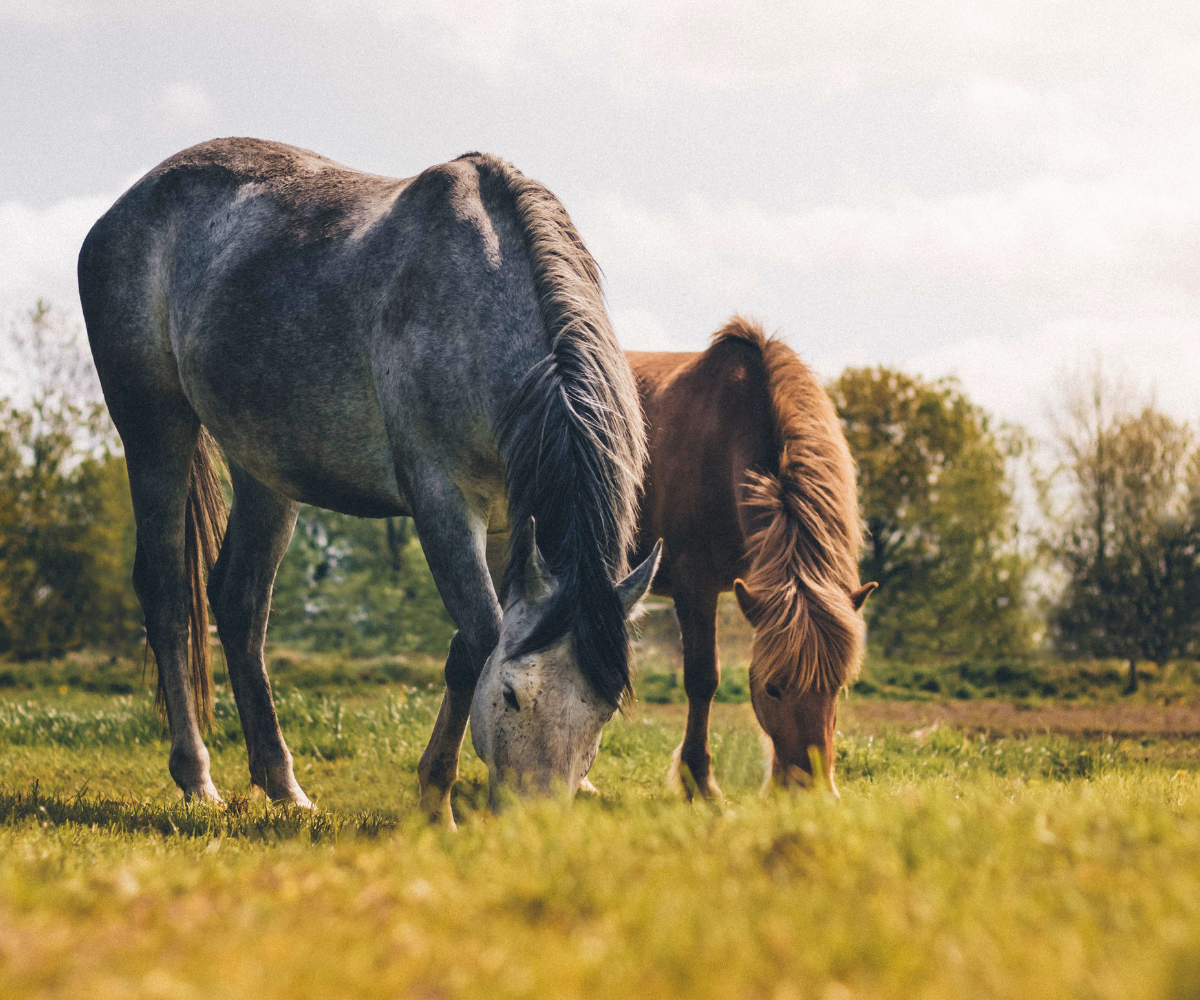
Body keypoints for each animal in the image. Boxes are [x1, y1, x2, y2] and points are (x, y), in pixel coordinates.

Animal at [79, 140, 662, 825]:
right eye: (513, 696)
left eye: (604, 709)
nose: (535, 823)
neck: (479, 300)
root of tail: (125, 207)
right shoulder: (441, 502)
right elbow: (480, 640)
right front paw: (437, 803)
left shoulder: (508, 524)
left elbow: (466, 650)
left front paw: (433, 794)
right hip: (154, 431)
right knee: (170, 593)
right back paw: (197, 777)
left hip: (264, 467)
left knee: (239, 602)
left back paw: (283, 786)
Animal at [628, 319, 873, 797]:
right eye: (773, 688)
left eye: (837, 687)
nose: (810, 791)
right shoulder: (694, 585)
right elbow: (703, 679)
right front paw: (700, 784)